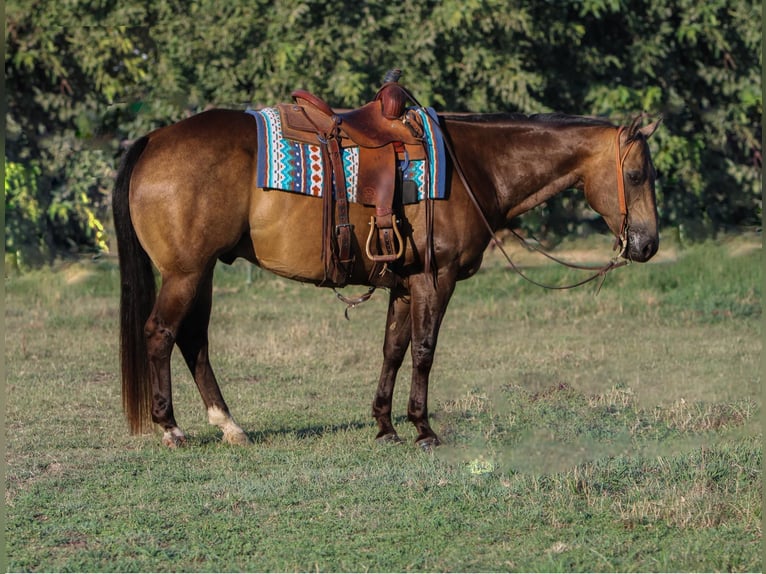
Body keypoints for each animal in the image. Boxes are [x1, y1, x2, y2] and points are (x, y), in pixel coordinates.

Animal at [111, 82, 664, 450]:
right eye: (637, 174)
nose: (647, 244)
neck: (475, 165)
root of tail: (155, 139)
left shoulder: (404, 283)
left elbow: (393, 350)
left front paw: (385, 424)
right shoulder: (436, 279)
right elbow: (423, 351)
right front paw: (423, 428)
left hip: (201, 271)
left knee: (194, 341)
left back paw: (229, 425)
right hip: (185, 273)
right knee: (161, 333)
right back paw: (172, 428)